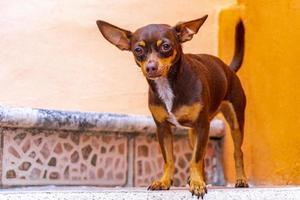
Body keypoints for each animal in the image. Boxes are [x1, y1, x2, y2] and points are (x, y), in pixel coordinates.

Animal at [96, 14, 248, 198]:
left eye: (166, 46)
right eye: (138, 50)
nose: (151, 67)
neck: (167, 85)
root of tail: (228, 69)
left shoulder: (202, 125)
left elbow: (195, 158)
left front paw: (197, 184)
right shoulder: (163, 129)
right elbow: (170, 158)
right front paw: (165, 181)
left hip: (235, 122)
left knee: (237, 151)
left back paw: (240, 179)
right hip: (193, 133)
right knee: (203, 154)